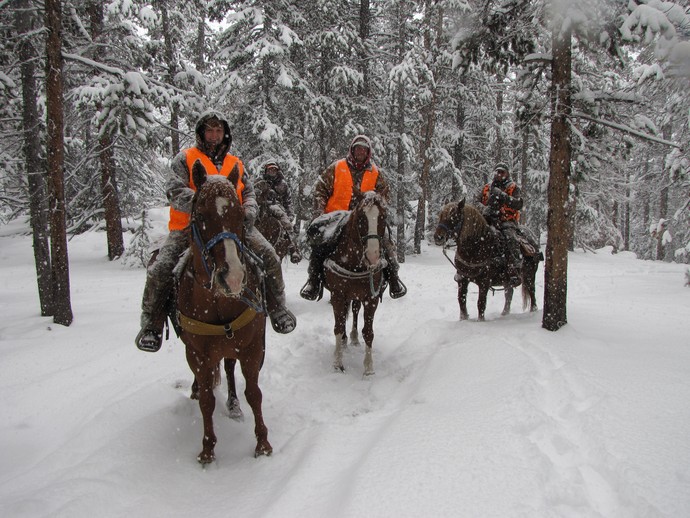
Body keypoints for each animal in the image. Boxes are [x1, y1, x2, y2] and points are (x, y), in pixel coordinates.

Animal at [175, 160, 272, 466]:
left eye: (241, 215)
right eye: (200, 215)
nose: (234, 277)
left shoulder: (252, 348)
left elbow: (254, 393)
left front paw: (263, 444)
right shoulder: (197, 353)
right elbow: (207, 400)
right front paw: (207, 449)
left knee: (229, 368)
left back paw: (233, 404)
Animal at [322, 193, 388, 376]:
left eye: (383, 217)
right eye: (361, 218)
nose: (372, 255)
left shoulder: (371, 298)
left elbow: (368, 332)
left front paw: (369, 368)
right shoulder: (337, 295)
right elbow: (338, 326)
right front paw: (338, 363)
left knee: (355, 310)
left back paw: (353, 337)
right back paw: (345, 341)